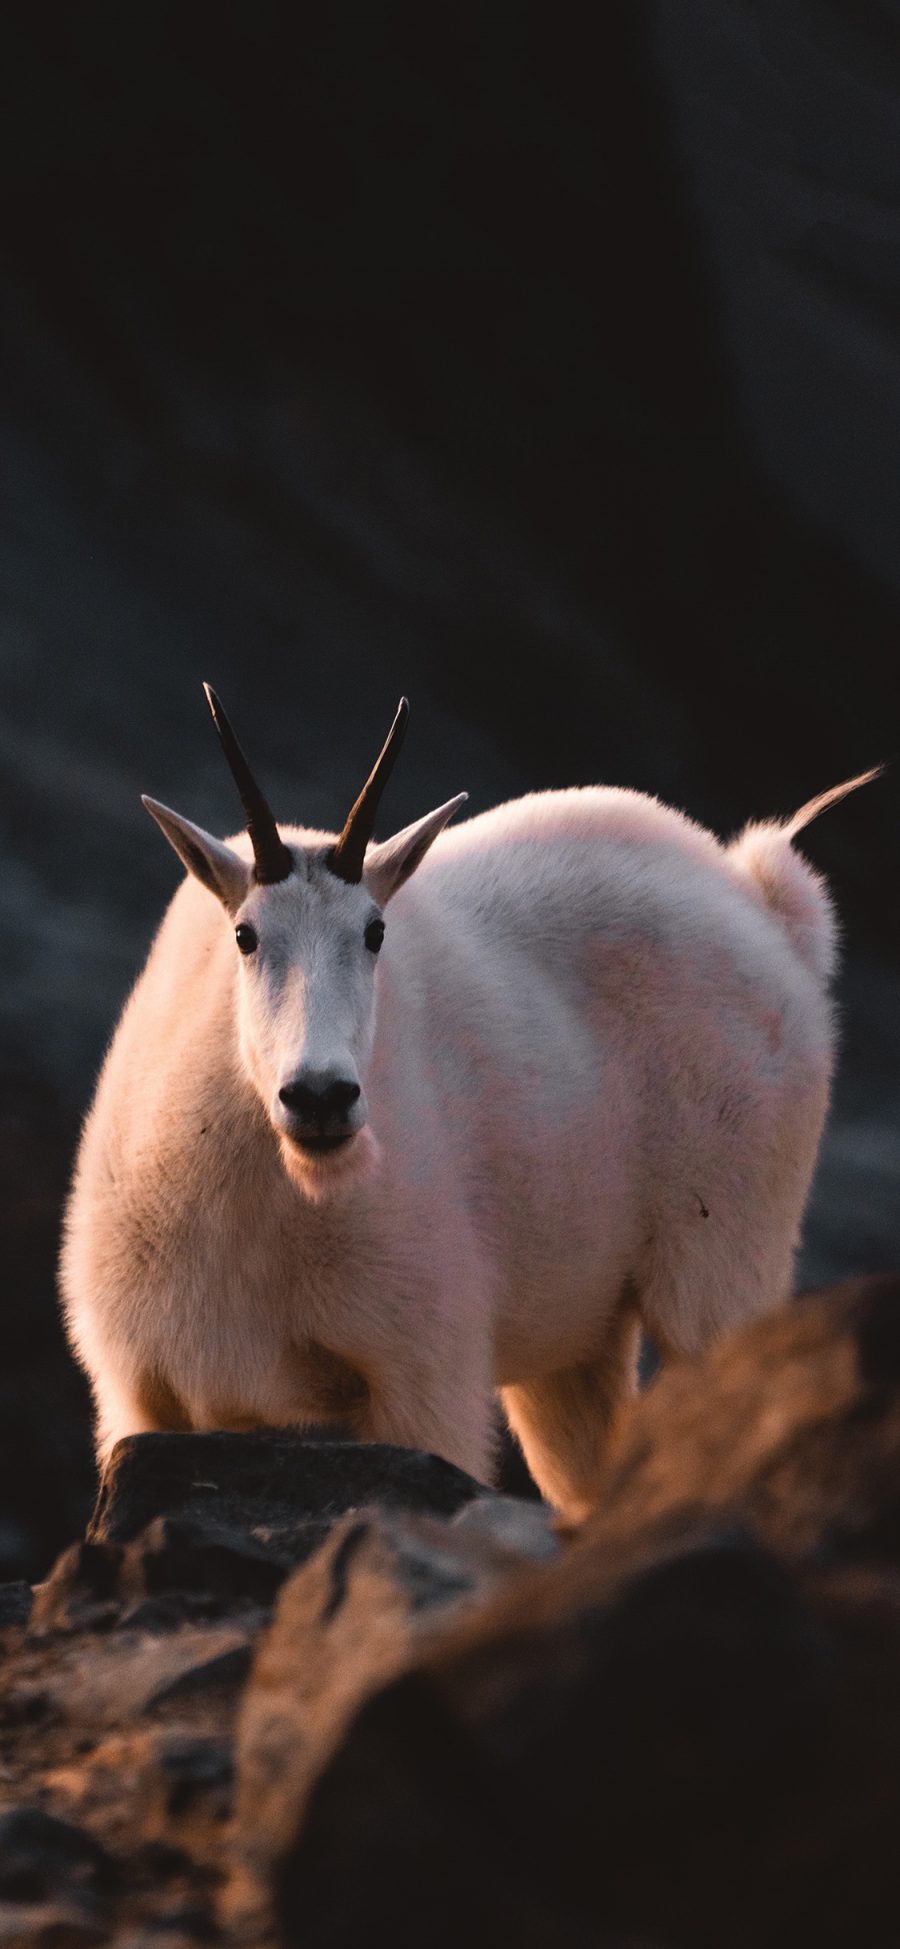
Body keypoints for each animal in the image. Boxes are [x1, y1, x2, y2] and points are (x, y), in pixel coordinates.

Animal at [59, 689, 876, 1520]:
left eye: (376, 931)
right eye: (245, 934)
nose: (321, 1096)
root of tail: (767, 908)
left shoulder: (421, 1375)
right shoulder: (138, 1395)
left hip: (724, 1260)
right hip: (579, 1342)